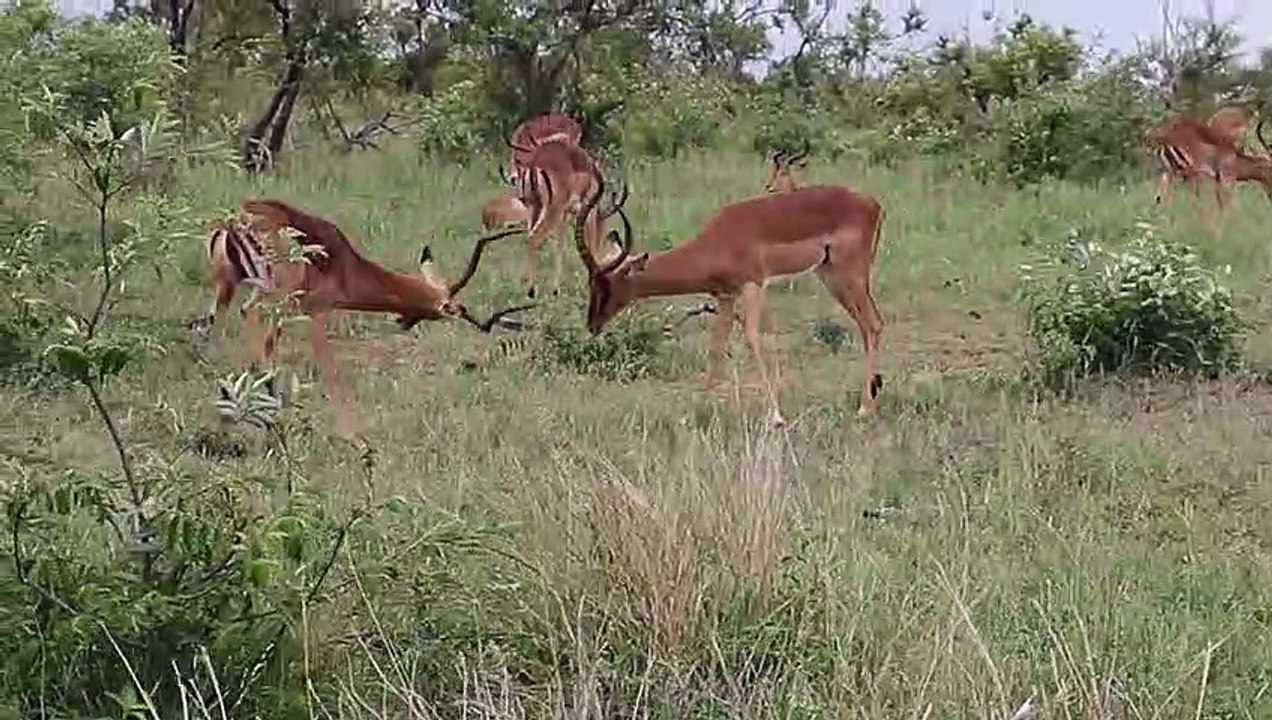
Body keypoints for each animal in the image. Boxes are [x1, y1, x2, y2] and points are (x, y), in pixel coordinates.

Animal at [197, 198, 533, 398]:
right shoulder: (315, 309)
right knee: (252, 321)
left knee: (212, 323)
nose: (404, 321)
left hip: (228, 284)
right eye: (446, 310)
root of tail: (233, 224)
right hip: (271, 294)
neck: (348, 266)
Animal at [573, 169, 885, 425]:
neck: (716, 241)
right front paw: (695, 412)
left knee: (874, 325)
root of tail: (872, 204)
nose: (592, 325)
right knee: (867, 327)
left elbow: (752, 338)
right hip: (830, 275)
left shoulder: (753, 286)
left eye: (606, 285)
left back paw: (865, 409)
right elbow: (716, 347)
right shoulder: (726, 296)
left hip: (850, 275)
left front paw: (776, 416)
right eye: (592, 283)